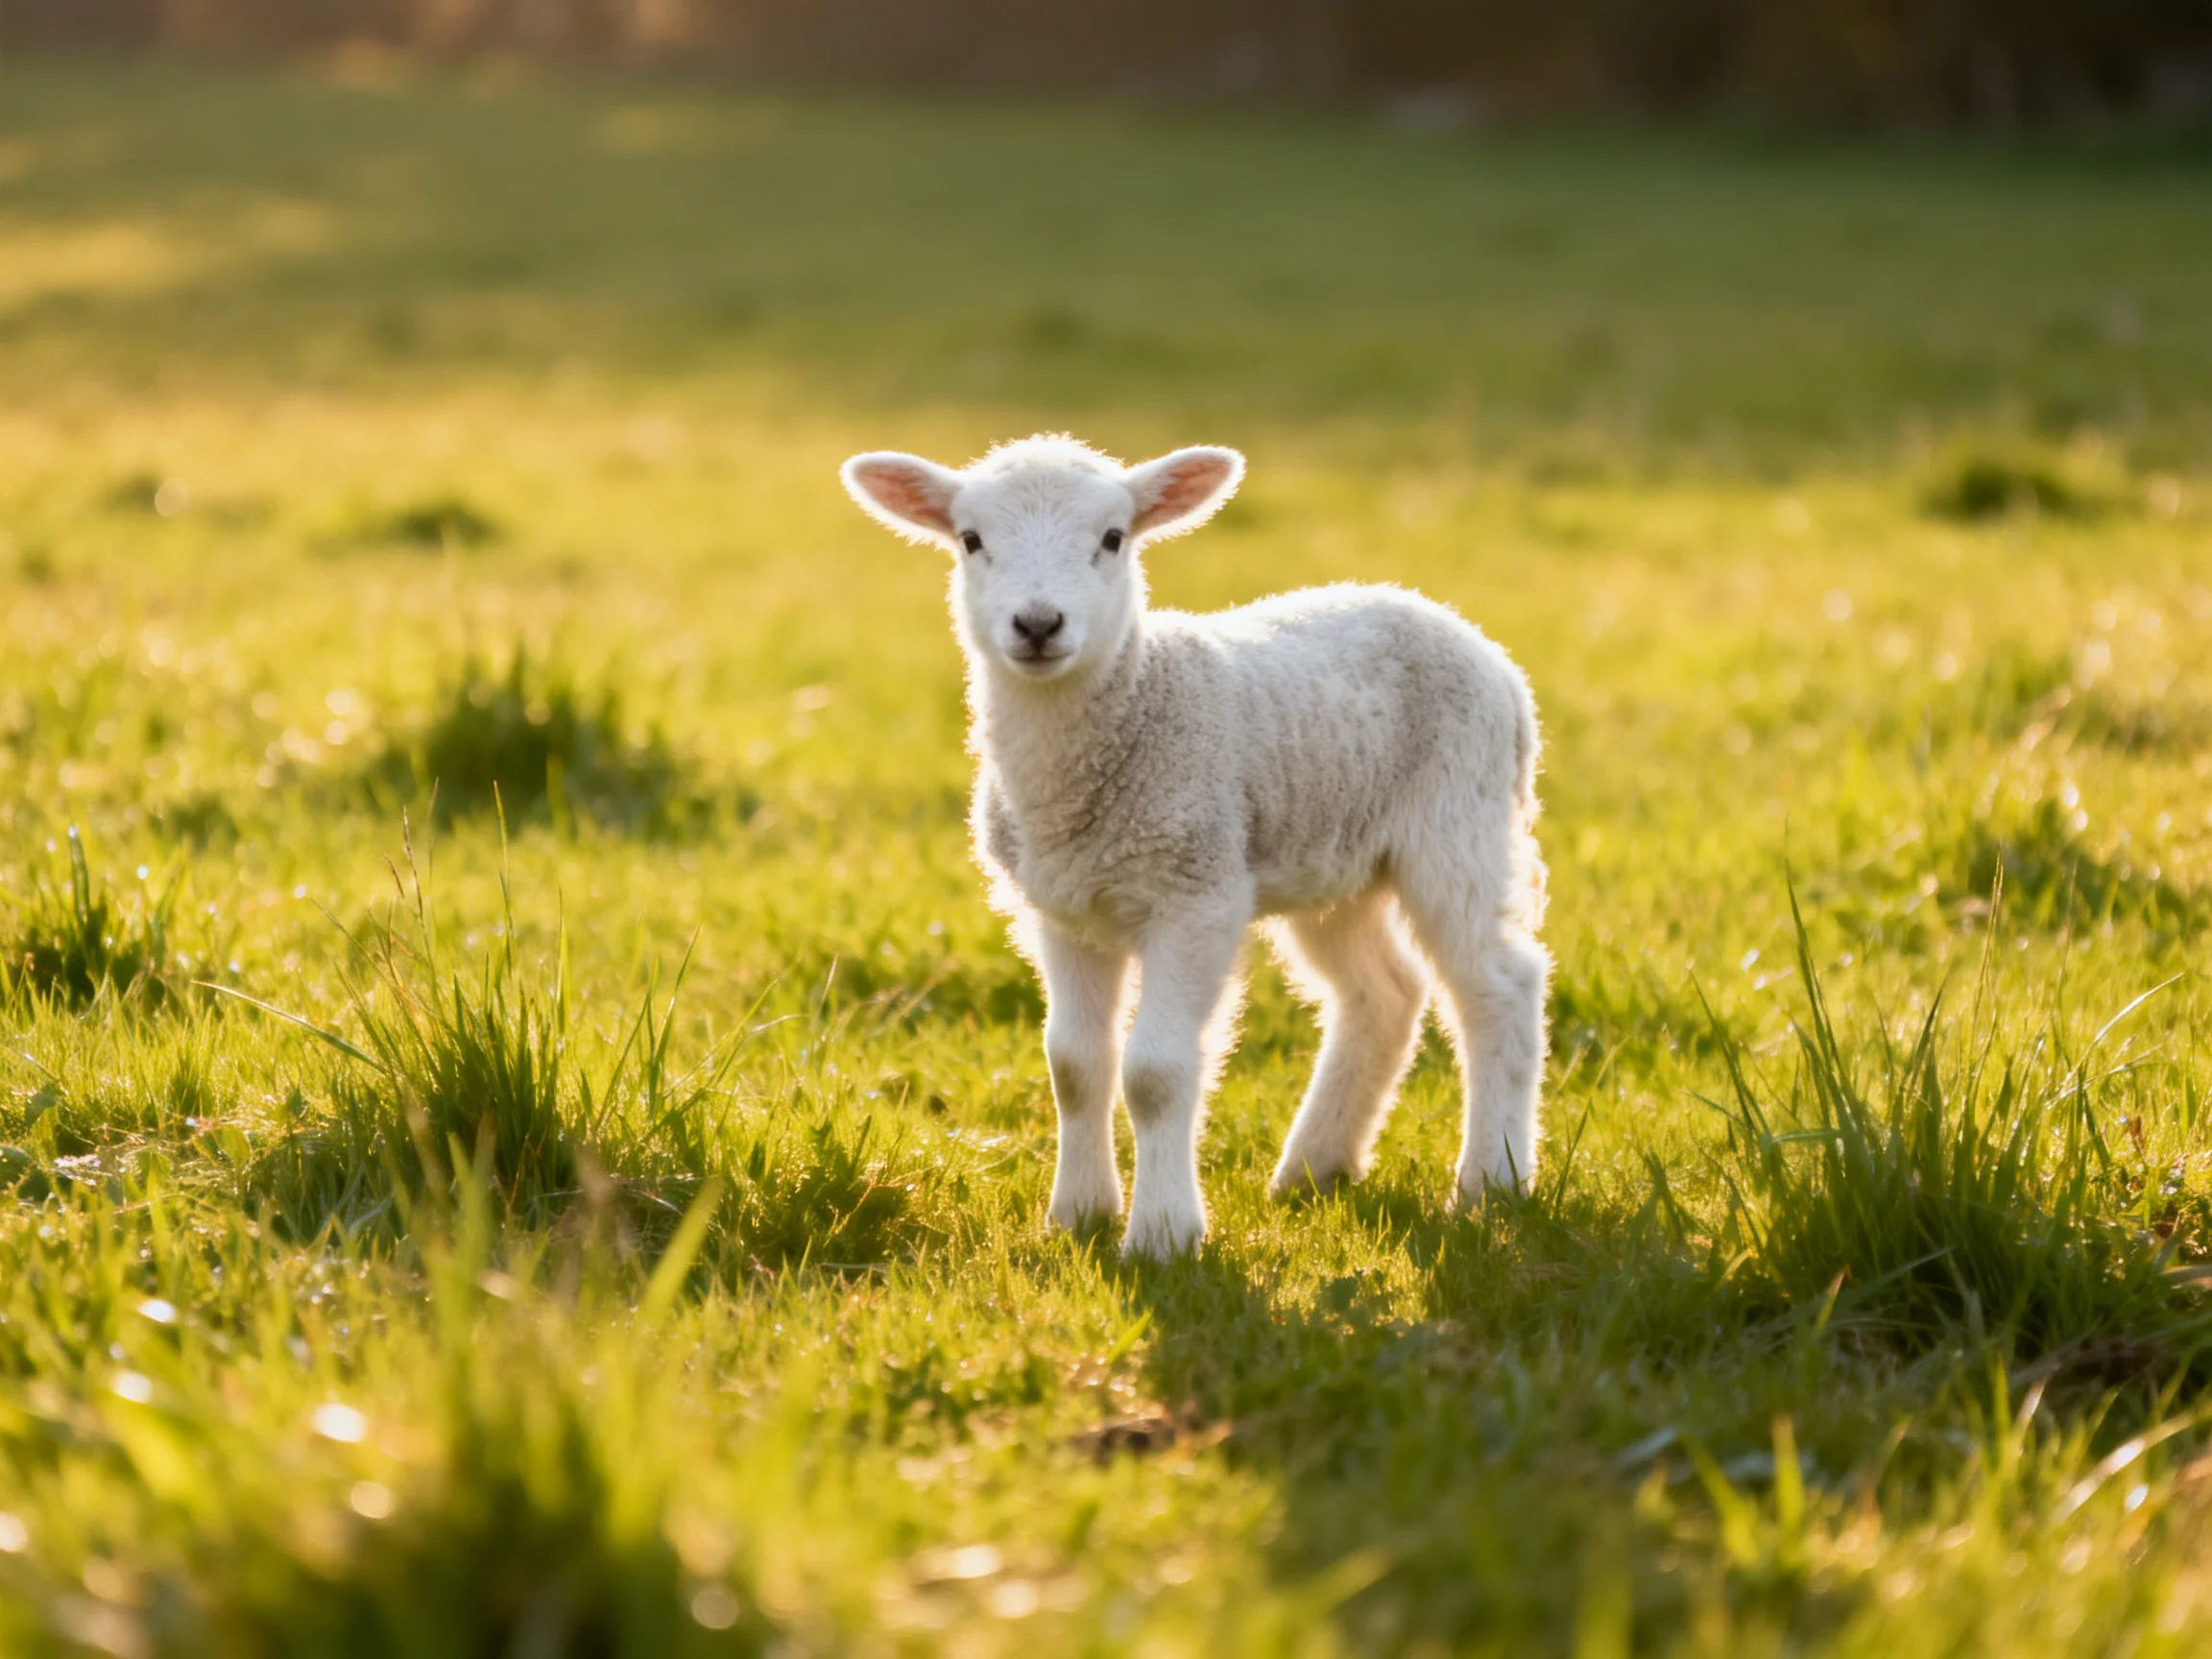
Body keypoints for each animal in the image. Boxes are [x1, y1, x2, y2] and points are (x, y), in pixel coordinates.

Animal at [841, 435, 1549, 1259]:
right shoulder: (1064, 910)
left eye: (1114, 538)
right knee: (1384, 992)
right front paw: (1078, 1215)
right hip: (1331, 859)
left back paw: (1490, 1182)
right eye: (971, 540)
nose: (1039, 624)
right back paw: (1315, 1167)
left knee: (1499, 986)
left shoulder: (1195, 895)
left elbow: (1154, 1073)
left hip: (1457, 822)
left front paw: (1162, 1235)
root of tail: (1483, 648)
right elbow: (1074, 1065)